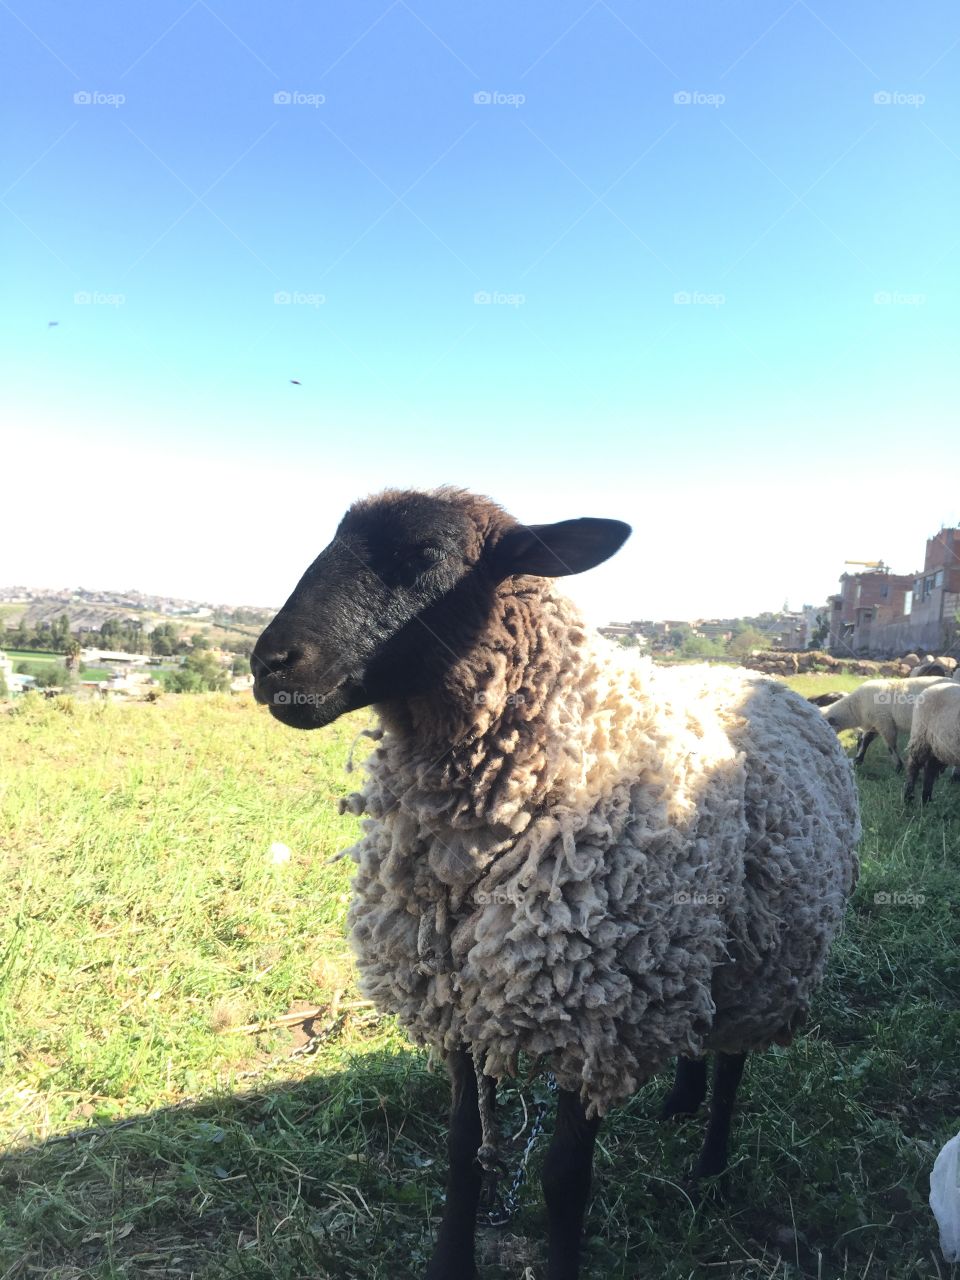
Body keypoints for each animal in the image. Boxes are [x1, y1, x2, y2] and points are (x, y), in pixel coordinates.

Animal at [819, 680, 957, 768]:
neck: (854, 708)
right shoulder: (875, 724)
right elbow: (865, 741)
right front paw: (858, 759)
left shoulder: (884, 722)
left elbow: (891, 746)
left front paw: (899, 766)